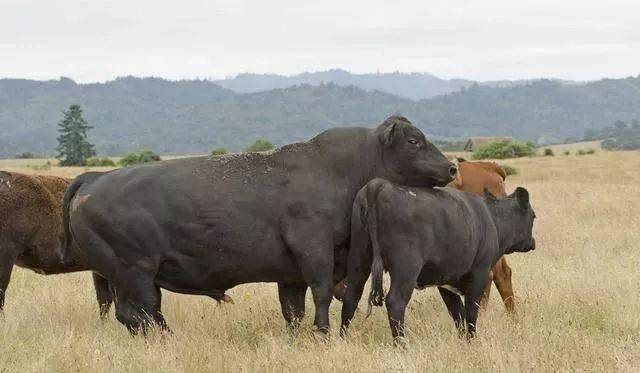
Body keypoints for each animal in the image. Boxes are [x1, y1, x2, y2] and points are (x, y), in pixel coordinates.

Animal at [58, 115, 456, 332]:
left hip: (129, 278)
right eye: (413, 140)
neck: (339, 171)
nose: (451, 168)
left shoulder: (290, 273)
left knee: (137, 316)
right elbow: (322, 295)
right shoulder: (314, 253)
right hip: (135, 273)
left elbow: (292, 311)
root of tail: (93, 180)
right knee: (139, 314)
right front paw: (323, 333)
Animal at [340, 177, 536, 342]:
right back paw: (401, 345)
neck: (491, 219)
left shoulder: (445, 283)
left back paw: (343, 339)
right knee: (395, 302)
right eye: (533, 216)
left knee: (351, 297)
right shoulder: (480, 274)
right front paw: (472, 340)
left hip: (359, 260)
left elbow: (457, 314)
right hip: (406, 269)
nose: (532, 242)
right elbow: (471, 312)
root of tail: (379, 185)